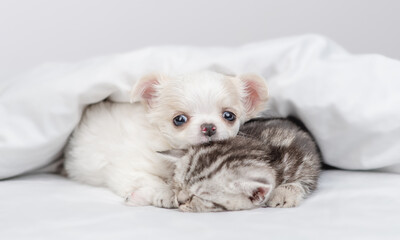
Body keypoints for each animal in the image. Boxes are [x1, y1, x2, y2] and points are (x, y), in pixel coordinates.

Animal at [64, 71, 268, 208]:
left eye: (229, 116)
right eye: (179, 119)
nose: (208, 127)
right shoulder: (128, 168)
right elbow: (152, 181)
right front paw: (164, 194)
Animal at [159, 117, 322, 212]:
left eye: (200, 197)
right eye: (178, 186)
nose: (179, 201)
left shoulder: (306, 154)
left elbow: (306, 178)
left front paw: (284, 192)